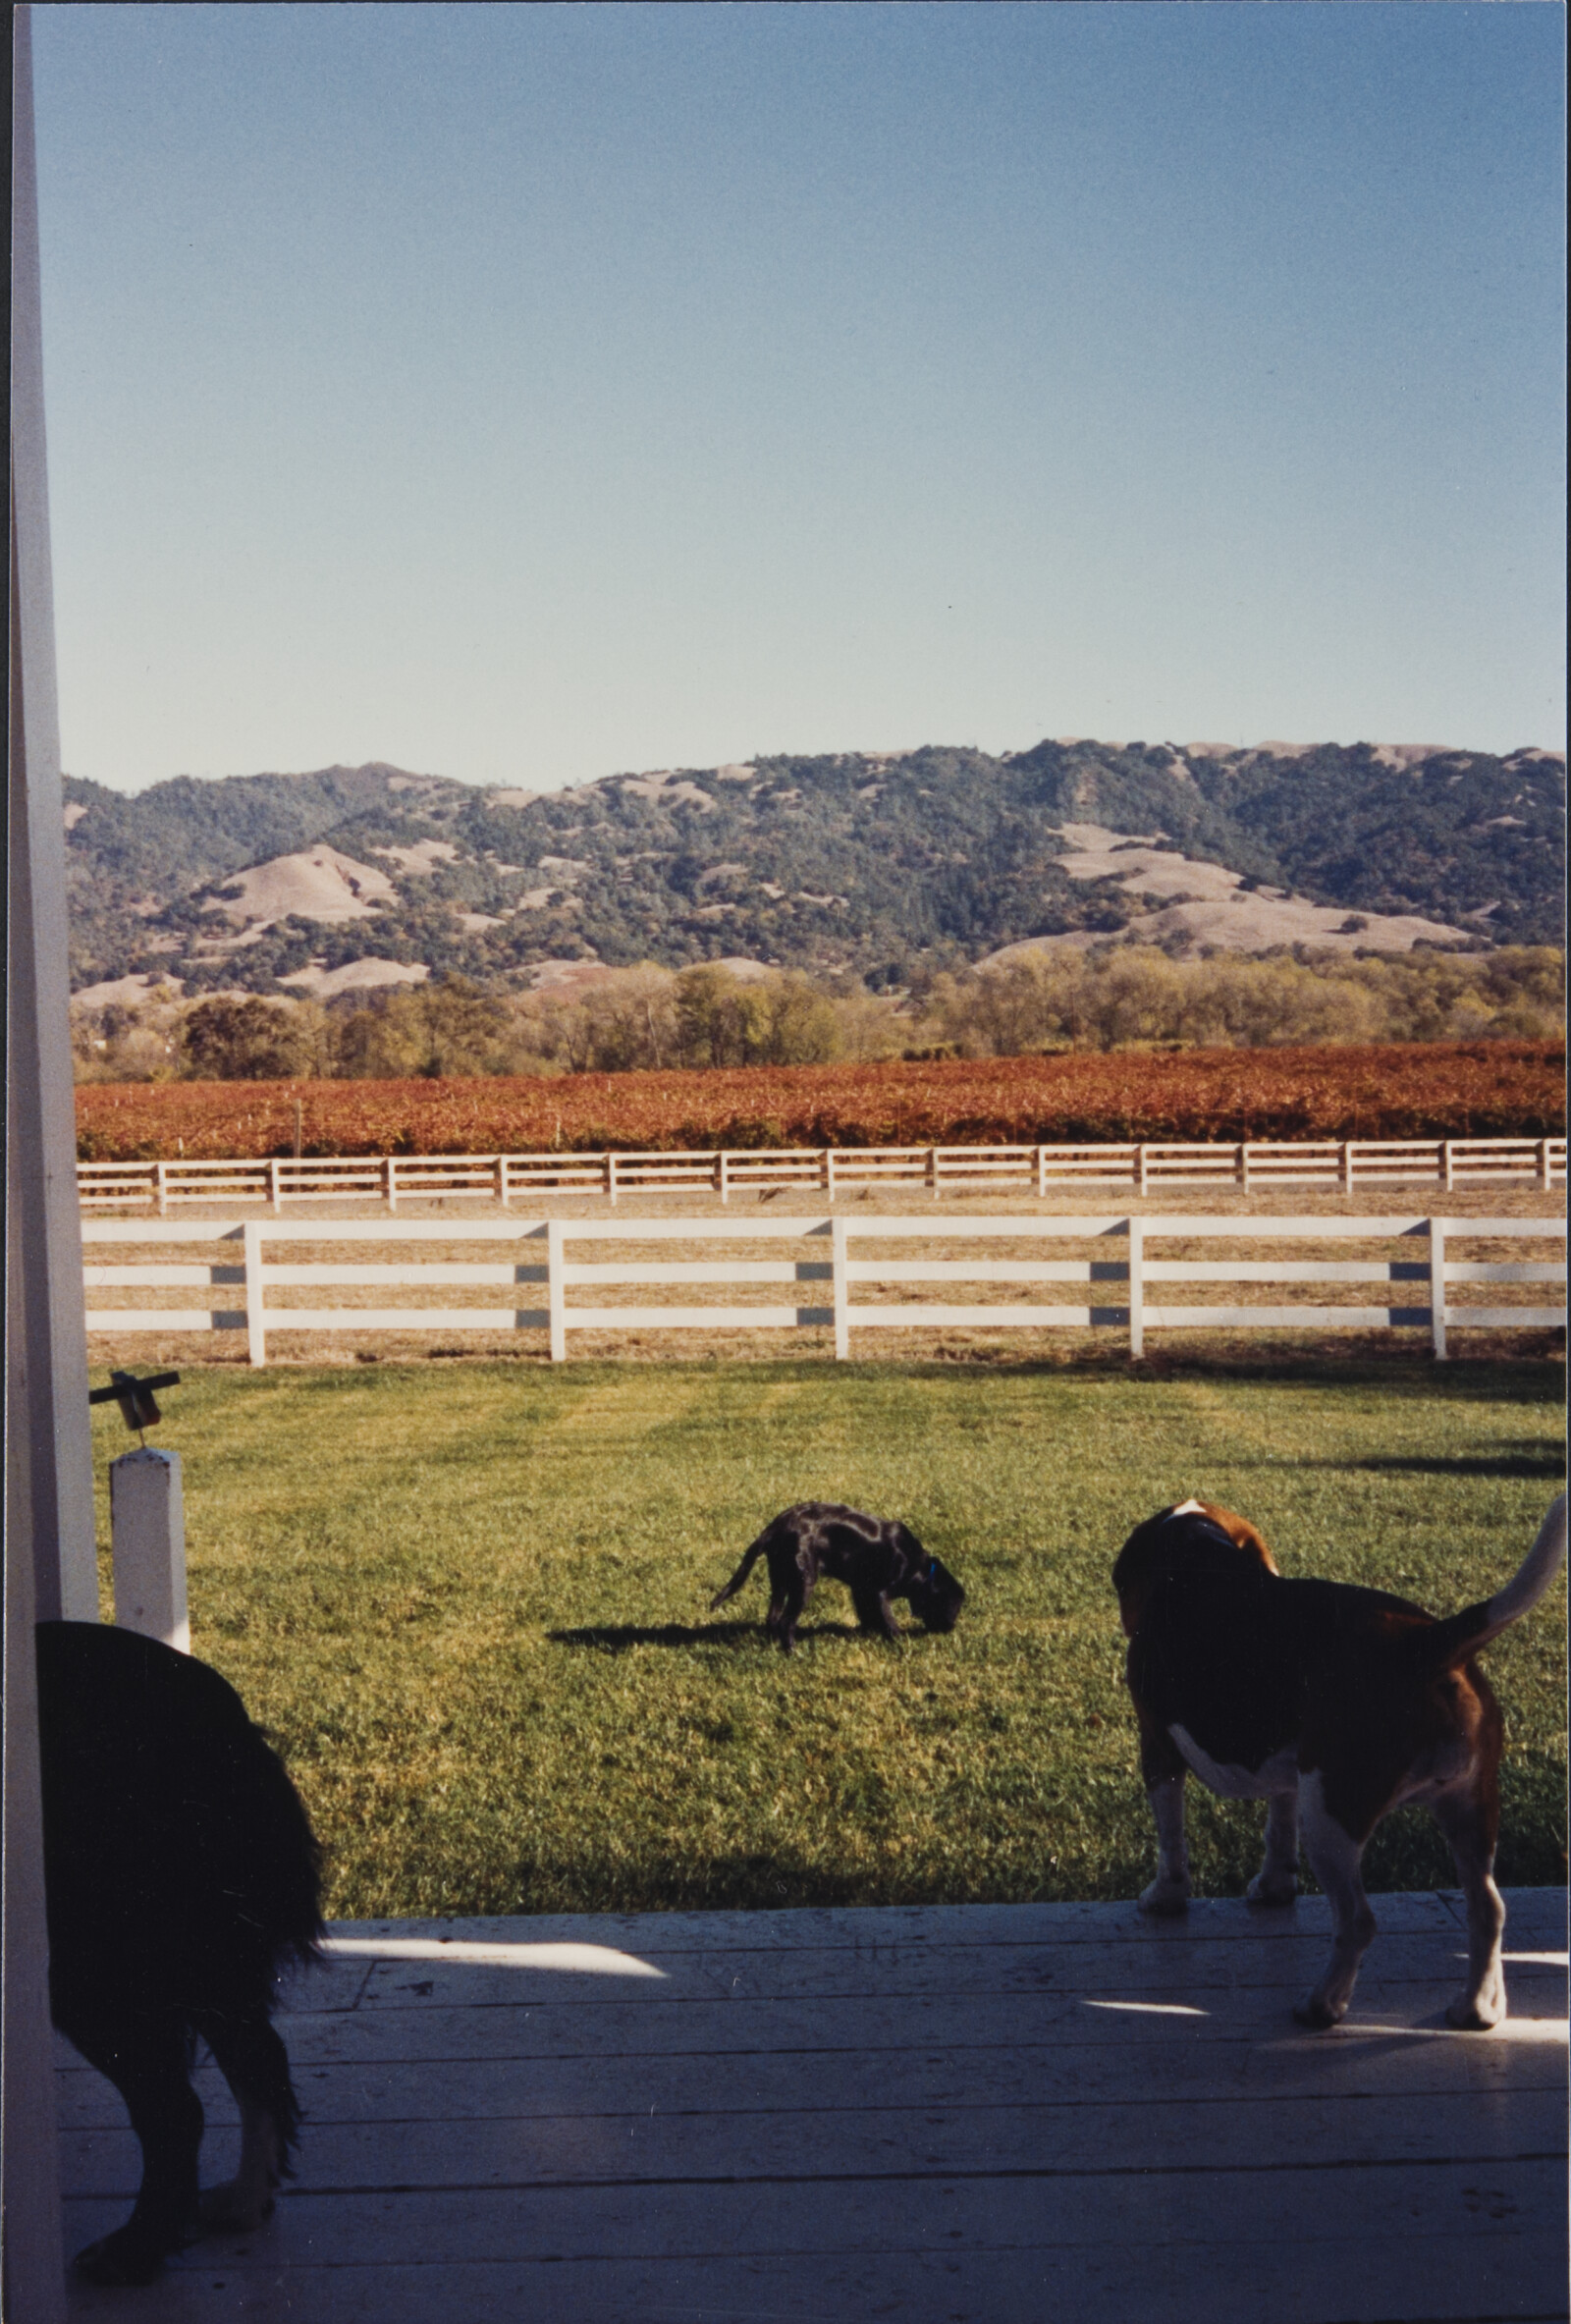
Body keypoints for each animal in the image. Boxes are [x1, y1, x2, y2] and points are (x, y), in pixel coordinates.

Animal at [35, 1626, 322, 2277]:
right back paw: (243, 2201)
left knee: (175, 2110)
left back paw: (134, 2249)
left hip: (103, 1957)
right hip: (196, 1953)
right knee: (258, 2056)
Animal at [706, 1505, 957, 1654]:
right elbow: (889, 1621)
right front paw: (901, 1644)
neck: (918, 1567)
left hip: (780, 1579)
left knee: (772, 1618)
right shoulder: (881, 1591)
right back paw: (793, 1653)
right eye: (953, 1605)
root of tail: (776, 1526)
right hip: (803, 1581)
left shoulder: (861, 1589)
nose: (950, 1629)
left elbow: (868, 1616)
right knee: (786, 1621)